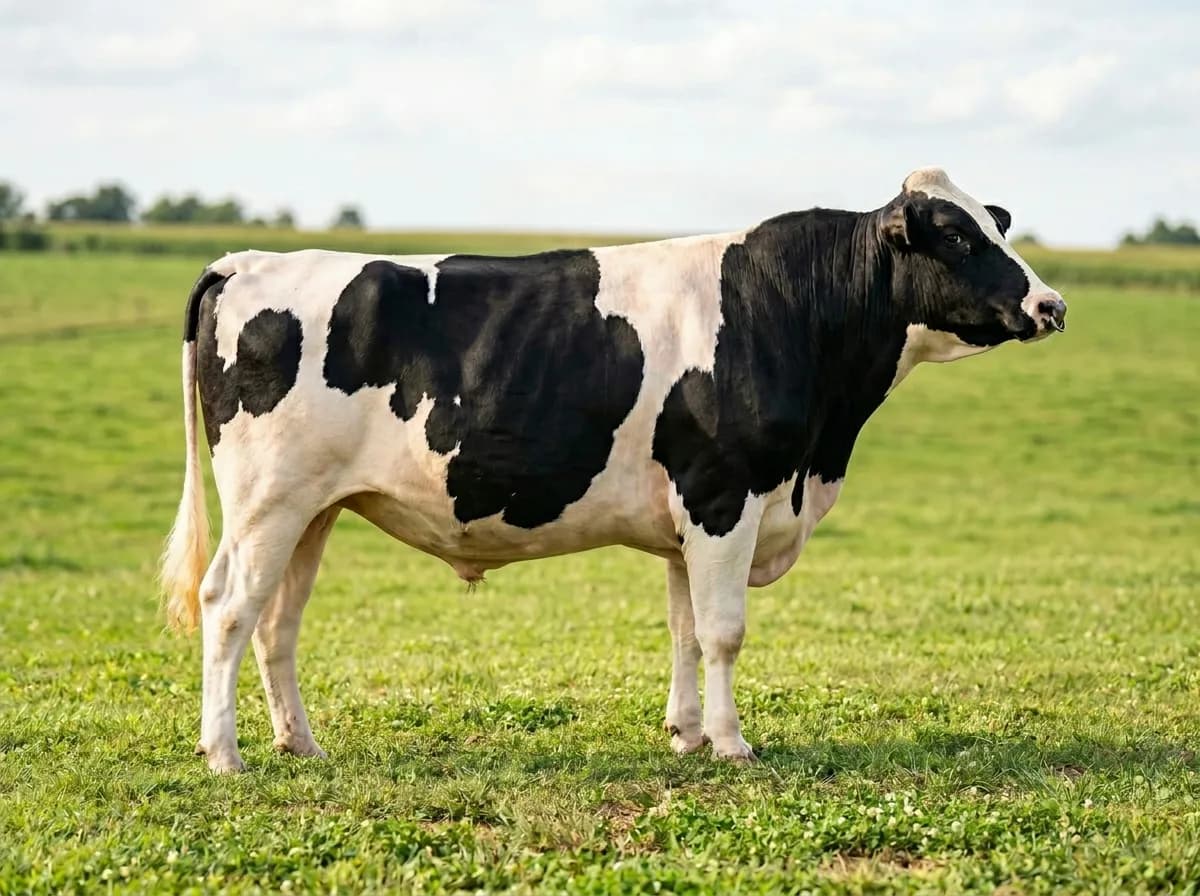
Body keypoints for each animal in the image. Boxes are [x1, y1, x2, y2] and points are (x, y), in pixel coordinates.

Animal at [160, 168, 1066, 773]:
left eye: (996, 225)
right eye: (957, 236)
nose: (1050, 304)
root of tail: (246, 260)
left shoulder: (687, 517)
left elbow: (684, 629)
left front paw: (687, 734)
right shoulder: (724, 494)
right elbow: (724, 630)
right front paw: (733, 745)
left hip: (314, 507)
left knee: (277, 622)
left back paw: (301, 744)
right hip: (267, 500)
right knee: (227, 606)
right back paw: (224, 753)